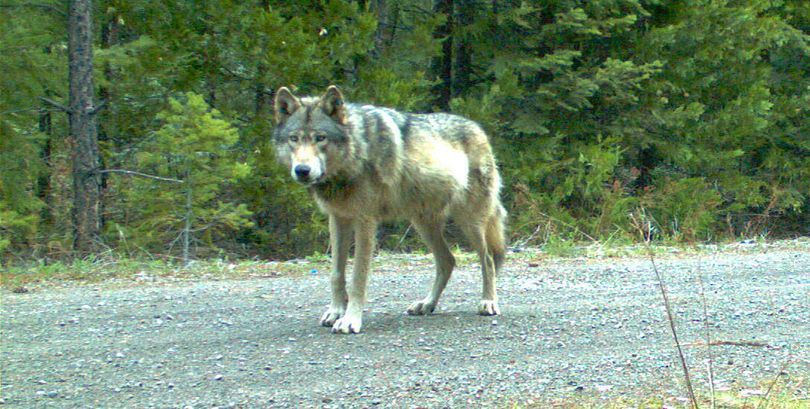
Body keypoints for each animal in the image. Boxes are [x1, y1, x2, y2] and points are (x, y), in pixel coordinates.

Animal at [274, 84, 508, 334]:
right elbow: (336, 274)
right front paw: (335, 311)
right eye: (294, 139)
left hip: (470, 221)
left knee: (488, 258)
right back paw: (426, 304)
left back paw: (488, 301)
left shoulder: (365, 221)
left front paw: (350, 320)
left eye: (320, 138)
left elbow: (358, 277)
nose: (302, 170)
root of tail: (479, 128)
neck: (356, 152)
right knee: (448, 261)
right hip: (423, 224)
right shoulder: (338, 219)